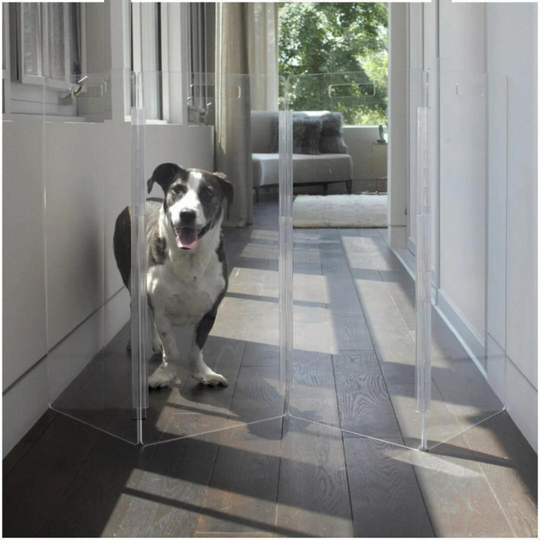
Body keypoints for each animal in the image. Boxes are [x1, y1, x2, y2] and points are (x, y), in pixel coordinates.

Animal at [114, 163, 232, 388]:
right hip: (131, 278)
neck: (189, 258)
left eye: (208, 193)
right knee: (137, 308)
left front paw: (203, 373)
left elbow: (196, 348)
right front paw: (164, 375)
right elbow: (172, 349)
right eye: (177, 189)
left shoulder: (210, 310)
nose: (187, 214)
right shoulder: (161, 309)